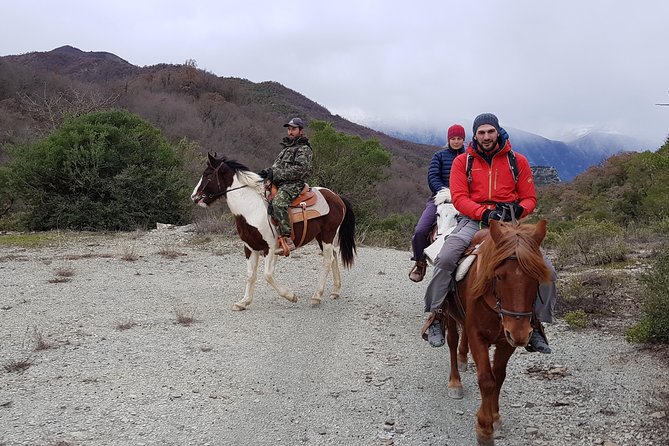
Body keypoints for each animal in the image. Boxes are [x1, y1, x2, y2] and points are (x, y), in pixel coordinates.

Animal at [189, 153, 354, 310]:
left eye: (208, 174)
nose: (194, 197)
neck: (251, 209)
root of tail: (336, 196)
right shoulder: (250, 248)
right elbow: (250, 275)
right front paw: (243, 302)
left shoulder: (272, 248)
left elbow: (268, 275)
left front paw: (291, 296)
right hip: (322, 237)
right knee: (334, 256)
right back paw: (335, 291)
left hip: (327, 234)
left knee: (327, 261)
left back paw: (316, 296)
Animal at [444, 220, 548, 446]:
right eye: (499, 276)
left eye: (536, 277)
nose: (520, 333)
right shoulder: (478, 336)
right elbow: (486, 379)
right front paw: (484, 428)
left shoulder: (506, 341)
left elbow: (498, 376)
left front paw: (495, 418)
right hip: (448, 314)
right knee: (452, 341)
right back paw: (455, 382)